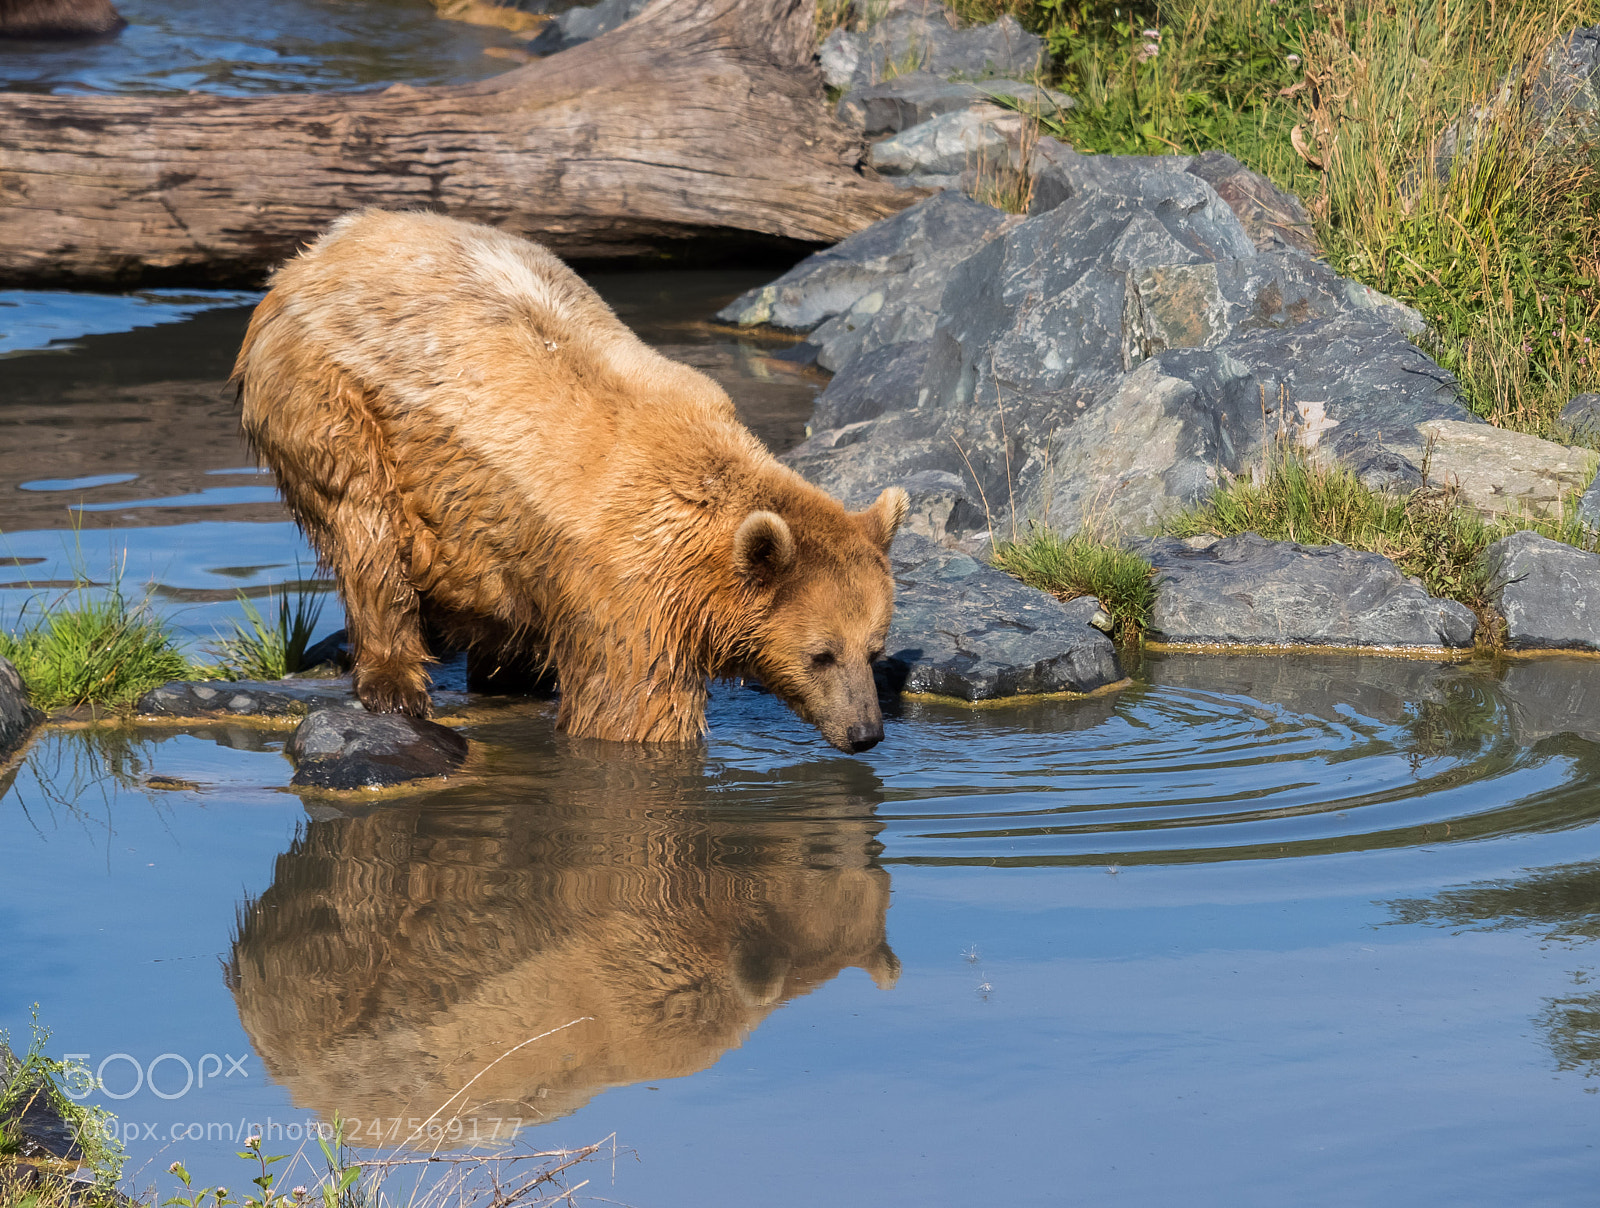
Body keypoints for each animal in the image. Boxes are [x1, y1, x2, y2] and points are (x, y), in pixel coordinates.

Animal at [233, 209, 909, 753]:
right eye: (821, 653)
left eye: (874, 649)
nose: (866, 733)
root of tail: (323, 245)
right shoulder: (629, 589)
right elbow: (634, 710)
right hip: (326, 394)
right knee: (364, 524)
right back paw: (396, 682)